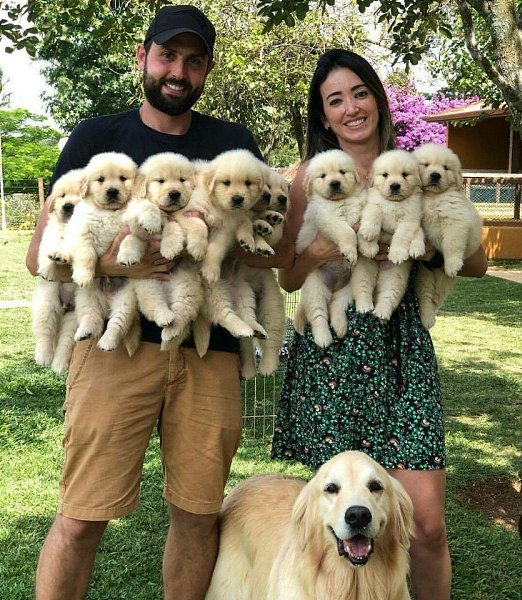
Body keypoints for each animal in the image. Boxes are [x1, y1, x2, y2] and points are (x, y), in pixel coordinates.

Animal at [292, 150, 362, 346]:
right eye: (322, 176)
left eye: (342, 172)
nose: (335, 183)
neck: (339, 202)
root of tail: (333, 288)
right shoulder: (327, 218)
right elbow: (346, 231)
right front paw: (350, 251)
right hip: (315, 287)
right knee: (318, 315)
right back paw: (323, 337)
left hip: (348, 287)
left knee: (336, 307)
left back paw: (340, 327)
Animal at [352, 149, 424, 322]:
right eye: (384, 175)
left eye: (405, 174)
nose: (395, 185)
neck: (394, 203)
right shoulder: (372, 205)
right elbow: (374, 215)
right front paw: (369, 239)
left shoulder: (409, 220)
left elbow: (401, 236)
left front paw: (397, 253)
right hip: (363, 270)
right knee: (362, 288)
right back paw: (365, 307)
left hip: (395, 278)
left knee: (388, 296)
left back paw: (381, 312)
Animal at [412, 143, 482, 328]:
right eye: (426, 164)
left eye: (445, 167)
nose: (435, 175)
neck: (432, 196)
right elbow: (415, 233)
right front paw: (415, 247)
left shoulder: (455, 223)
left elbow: (452, 245)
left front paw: (452, 265)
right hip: (424, 277)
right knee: (426, 296)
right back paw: (427, 318)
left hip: (442, 281)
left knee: (436, 298)